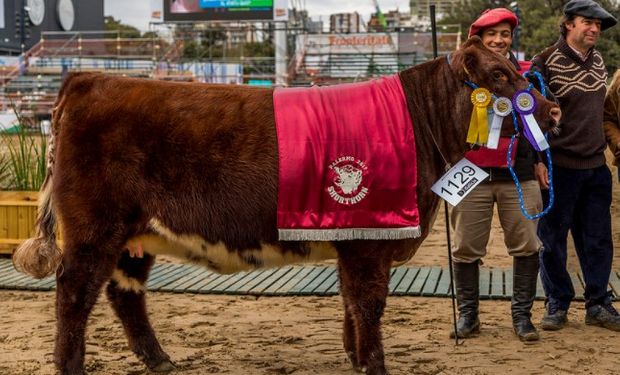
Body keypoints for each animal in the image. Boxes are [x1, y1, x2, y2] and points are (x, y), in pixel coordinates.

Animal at [12, 37, 560, 375]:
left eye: (519, 69)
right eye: (498, 74)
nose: (552, 110)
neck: (417, 122)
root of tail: (86, 79)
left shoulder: (354, 238)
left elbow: (352, 303)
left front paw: (356, 357)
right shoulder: (369, 240)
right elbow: (369, 303)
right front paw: (375, 364)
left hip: (136, 234)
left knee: (123, 293)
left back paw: (159, 358)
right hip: (94, 226)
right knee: (73, 292)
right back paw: (71, 364)